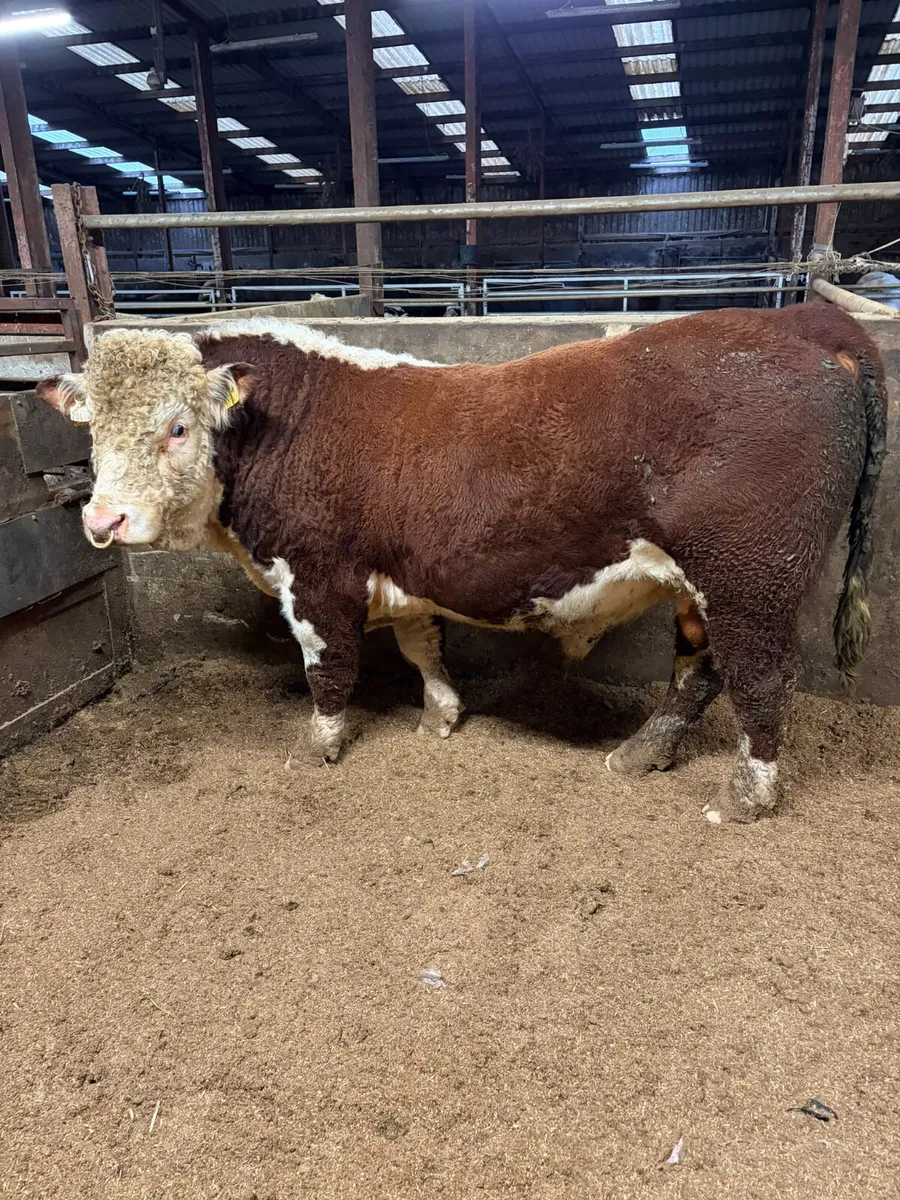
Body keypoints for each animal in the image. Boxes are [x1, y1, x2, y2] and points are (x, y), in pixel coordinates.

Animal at [37, 306, 886, 824]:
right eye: (91, 428)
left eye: (178, 426)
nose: (102, 519)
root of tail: (802, 319)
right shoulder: (403, 571)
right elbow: (421, 644)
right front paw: (441, 714)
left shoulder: (316, 577)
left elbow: (328, 669)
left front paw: (318, 747)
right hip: (711, 586)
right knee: (699, 671)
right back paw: (642, 754)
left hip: (750, 577)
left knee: (758, 681)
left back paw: (745, 796)